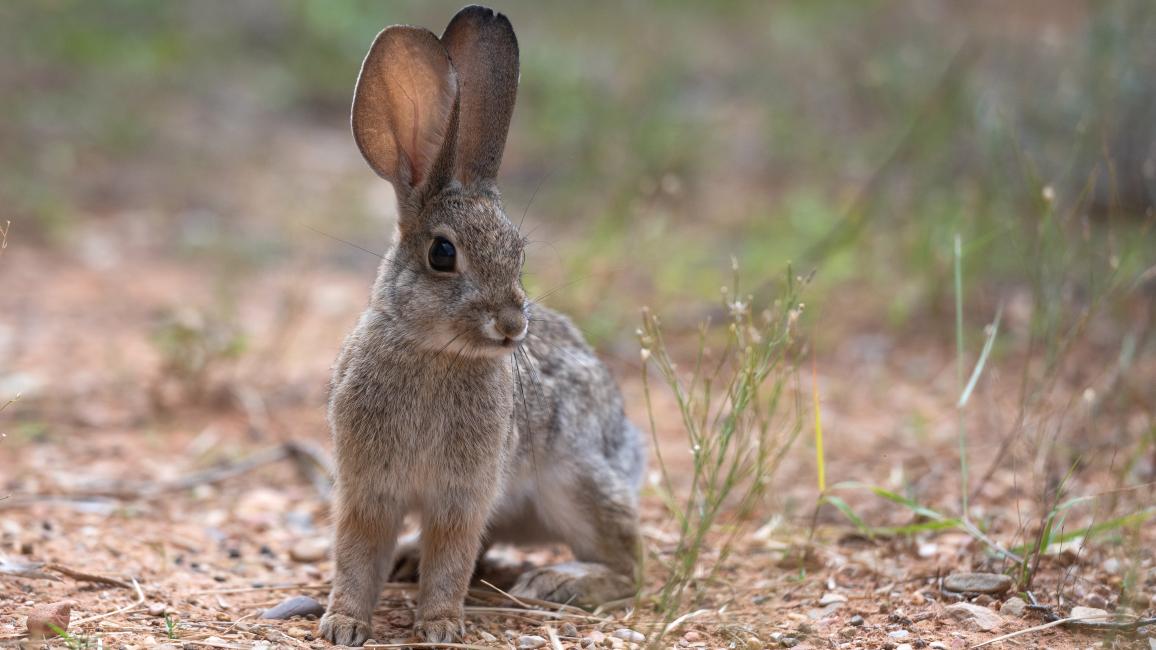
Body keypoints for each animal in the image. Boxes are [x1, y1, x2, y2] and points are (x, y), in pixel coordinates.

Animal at [318, 5, 646, 647]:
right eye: (442, 254)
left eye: (519, 253)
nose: (513, 325)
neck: (433, 351)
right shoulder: (367, 487)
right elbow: (356, 553)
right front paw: (342, 623)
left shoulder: (462, 493)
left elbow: (452, 555)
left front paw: (441, 626)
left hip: (574, 480)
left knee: (631, 562)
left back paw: (563, 582)